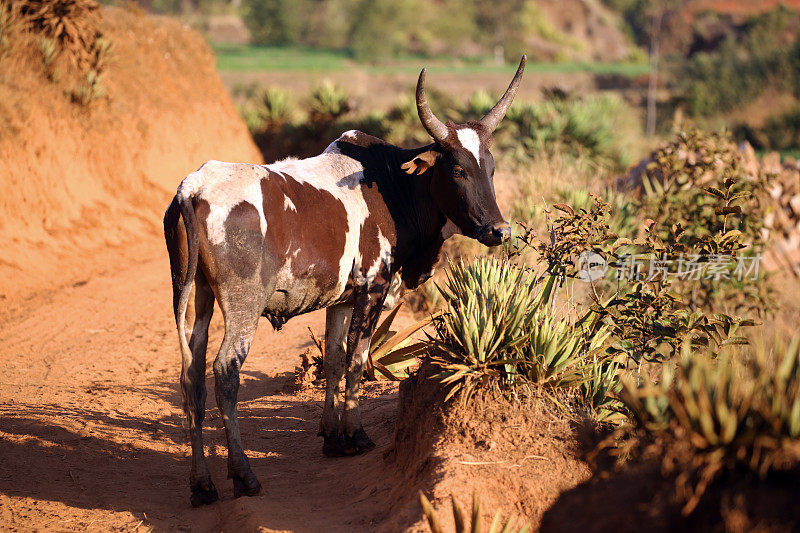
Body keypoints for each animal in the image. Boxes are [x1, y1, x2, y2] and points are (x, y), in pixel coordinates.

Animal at [162, 56, 524, 504]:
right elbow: (356, 359)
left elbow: (333, 359)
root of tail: (194, 186)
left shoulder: (340, 301)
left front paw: (332, 437)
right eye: (457, 169)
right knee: (225, 372)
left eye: (490, 167)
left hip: (197, 299)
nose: (499, 230)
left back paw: (202, 484)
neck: (392, 186)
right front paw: (355, 435)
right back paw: (244, 475)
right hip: (242, 306)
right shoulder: (373, 289)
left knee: (191, 377)